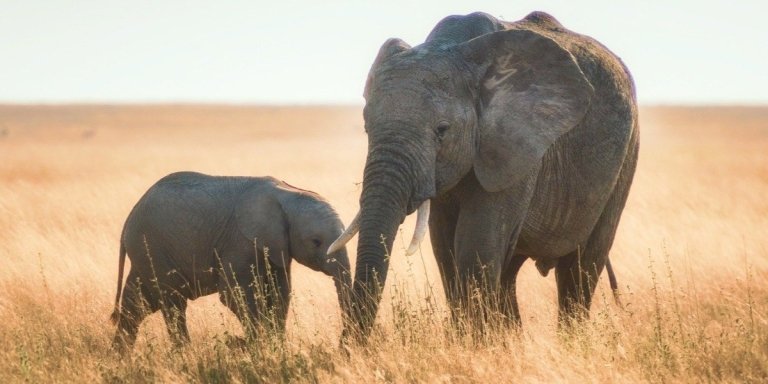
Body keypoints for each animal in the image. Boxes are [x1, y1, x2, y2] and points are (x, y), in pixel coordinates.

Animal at [110, 172, 352, 352]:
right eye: (316, 242)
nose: (343, 344)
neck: (287, 193)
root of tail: (129, 218)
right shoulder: (239, 242)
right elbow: (235, 295)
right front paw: (257, 348)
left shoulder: (276, 246)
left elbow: (280, 294)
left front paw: (276, 348)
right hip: (152, 247)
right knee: (173, 303)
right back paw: (184, 354)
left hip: (146, 252)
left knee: (137, 304)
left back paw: (120, 357)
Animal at [328, 10, 636, 338]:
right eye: (366, 127)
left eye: (442, 130)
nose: (349, 347)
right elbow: (446, 249)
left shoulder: (517, 145)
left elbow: (475, 247)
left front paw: (477, 344)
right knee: (509, 271)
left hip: (627, 154)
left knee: (581, 266)